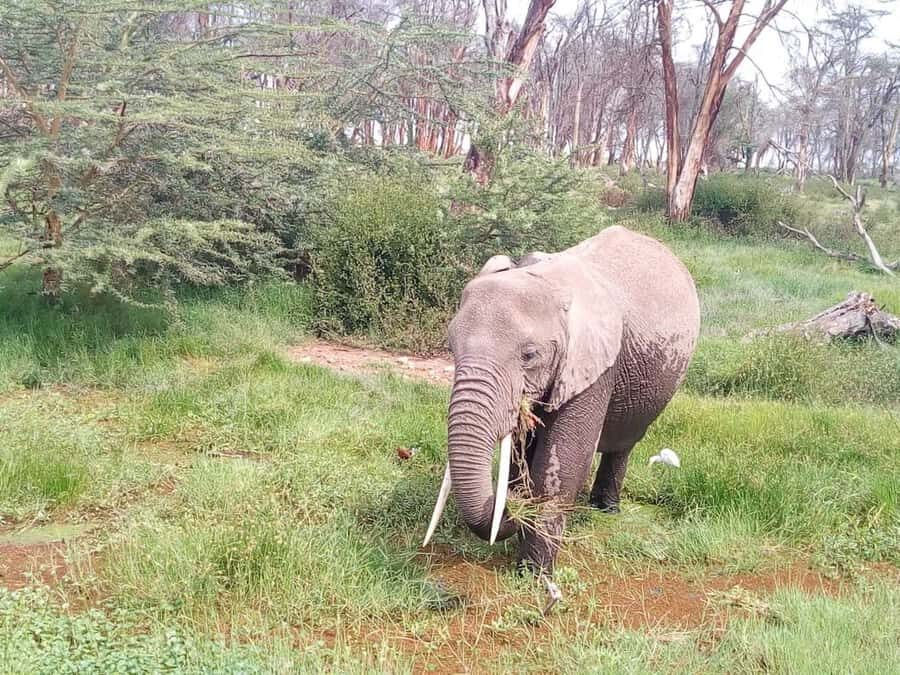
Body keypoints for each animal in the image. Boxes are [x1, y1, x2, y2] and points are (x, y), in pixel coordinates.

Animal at [423, 225, 700, 575]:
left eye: (529, 355)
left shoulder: (593, 364)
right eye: (451, 348)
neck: (545, 279)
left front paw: (532, 574)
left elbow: (563, 464)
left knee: (624, 444)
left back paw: (606, 510)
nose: (511, 503)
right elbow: (522, 454)